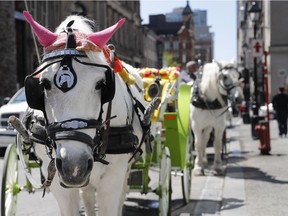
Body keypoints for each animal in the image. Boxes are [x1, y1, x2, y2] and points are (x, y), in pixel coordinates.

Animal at [21, 11, 150, 216]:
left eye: (101, 84)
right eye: (44, 84)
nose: (74, 167)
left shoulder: (112, 180)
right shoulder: (60, 185)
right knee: (88, 194)